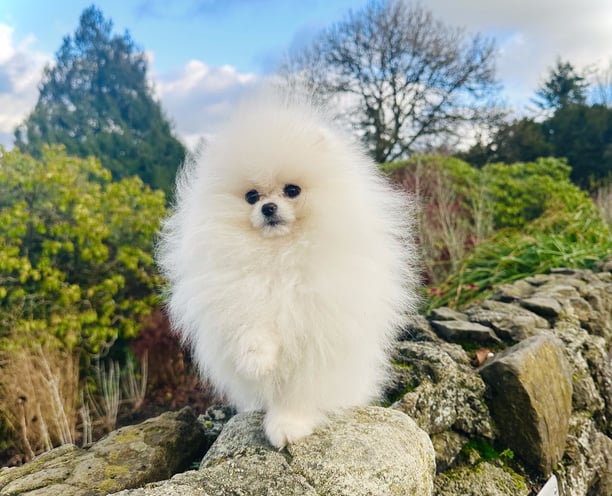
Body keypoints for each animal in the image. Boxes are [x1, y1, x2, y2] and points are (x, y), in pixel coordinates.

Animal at [155, 89, 418, 450]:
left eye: (292, 190)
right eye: (251, 196)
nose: (268, 207)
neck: (279, 255)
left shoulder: (318, 332)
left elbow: (298, 391)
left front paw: (288, 426)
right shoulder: (239, 295)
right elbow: (251, 328)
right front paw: (256, 360)